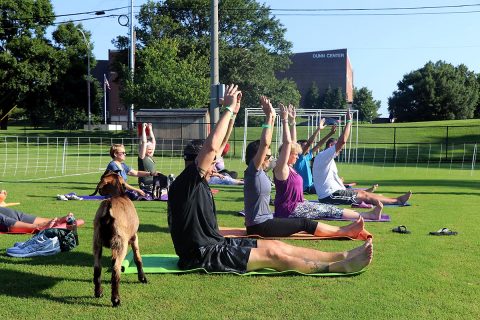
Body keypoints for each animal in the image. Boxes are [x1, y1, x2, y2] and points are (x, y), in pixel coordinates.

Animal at [92, 171, 146, 306]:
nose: (100, 190)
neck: (120, 195)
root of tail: (108, 208)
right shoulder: (134, 237)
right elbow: (138, 258)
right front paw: (142, 278)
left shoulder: (113, 246)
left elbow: (113, 258)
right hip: (122, 244)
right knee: (116, 271)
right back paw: (116, 299)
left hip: (97, 243)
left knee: (97, 268)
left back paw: (98, 292)